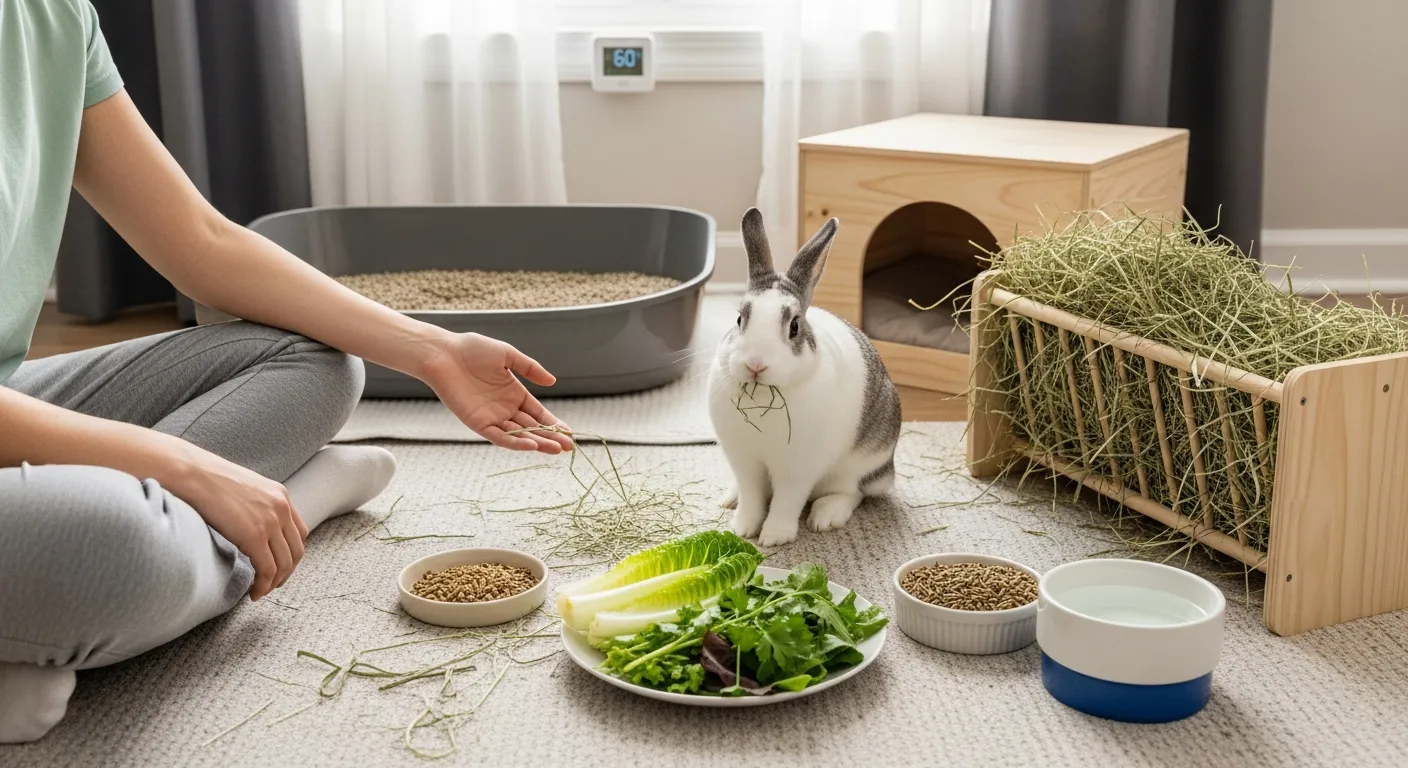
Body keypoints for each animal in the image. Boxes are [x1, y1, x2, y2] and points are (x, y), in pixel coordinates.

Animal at [707, 208, 903, 546]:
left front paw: (774, 538)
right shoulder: (745, 464)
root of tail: (887, 470)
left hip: (860, 463)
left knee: (852, 492)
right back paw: (729, 498)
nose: (756, 364)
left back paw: (825, 517)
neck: (763, 395)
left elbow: (787, 501)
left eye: (794, 327)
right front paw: (743, 529)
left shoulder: (797, 470)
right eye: (739, 319)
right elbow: (752, 497)